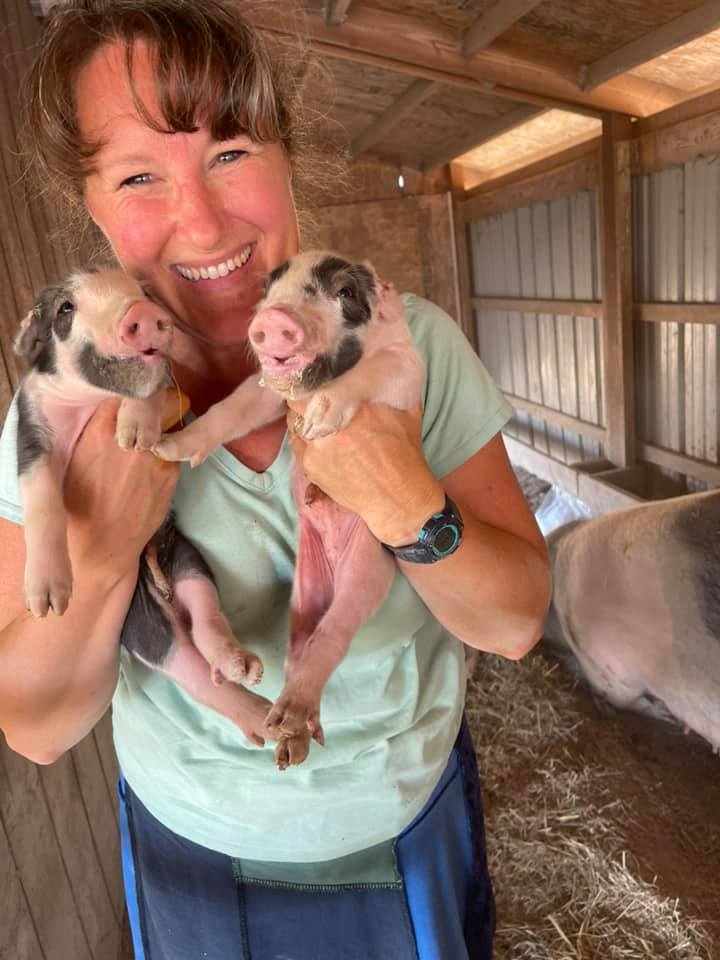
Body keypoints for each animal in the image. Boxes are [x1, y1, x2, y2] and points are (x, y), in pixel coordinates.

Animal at [14, 270, 272, 744]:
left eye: (141, 293)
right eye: (65, 307)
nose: (144, 313)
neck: (92, 398)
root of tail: (160, 588)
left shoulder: (168, 389)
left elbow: (150, 389)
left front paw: (133, 438)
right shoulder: (33, 424)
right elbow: (41, 500)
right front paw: (47, 604)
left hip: (189, 562)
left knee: (207, 620)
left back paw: (248, 675)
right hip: (140, 629)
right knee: (192, 672)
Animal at [155, 251, 424, 768]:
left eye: (345, 292)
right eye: (269, 289)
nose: (273, 319)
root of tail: (334, 570)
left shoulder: (405, 368)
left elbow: (376, 369)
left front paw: (319, 419)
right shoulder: (265, 393)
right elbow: (232, 409)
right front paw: (164, 448)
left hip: (370, 567)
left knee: (333, 638)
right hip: (304, 590)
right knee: (300, 650)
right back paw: (288, 743)